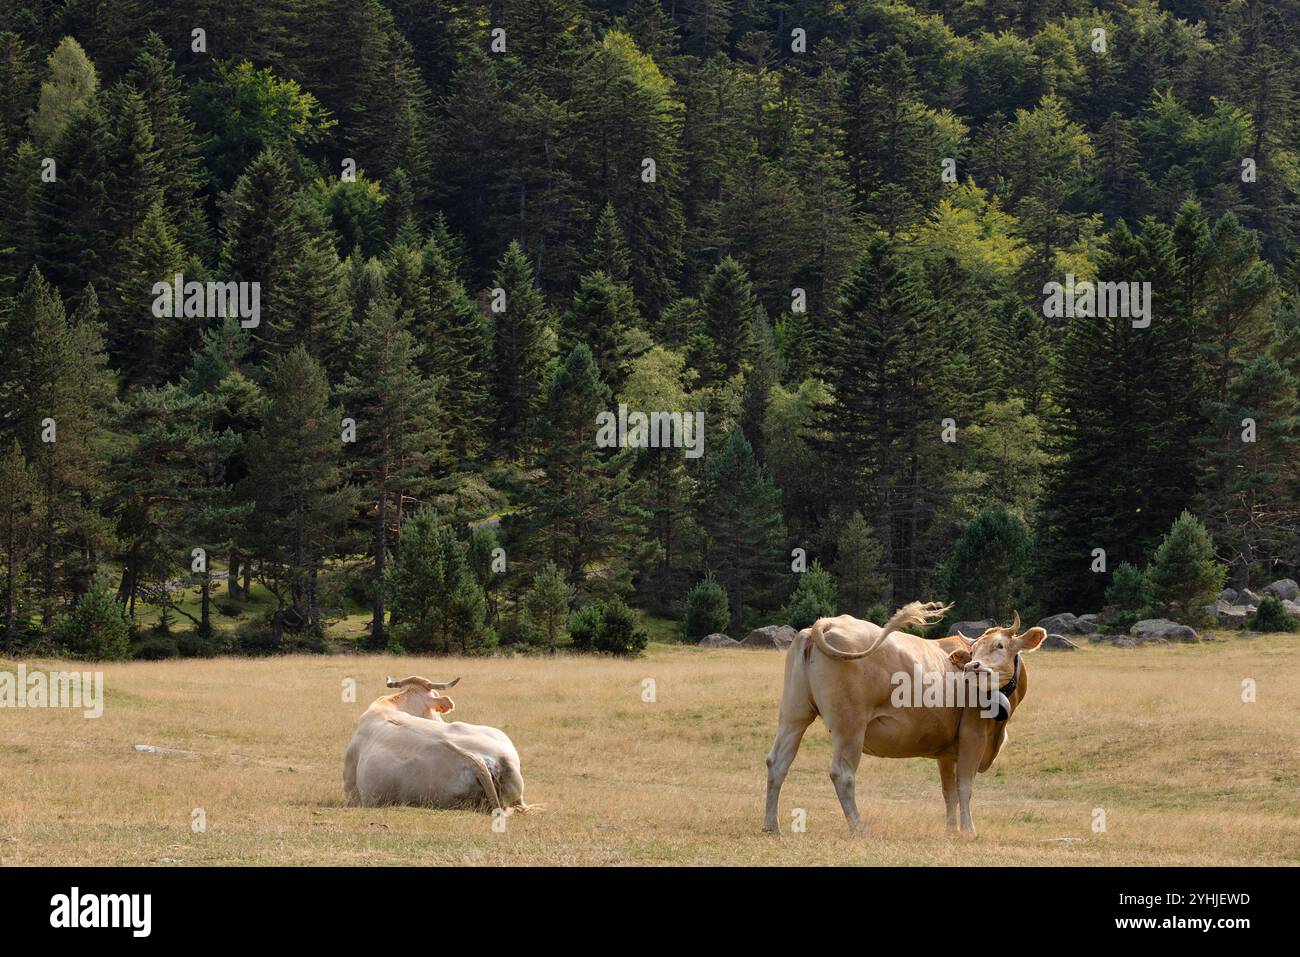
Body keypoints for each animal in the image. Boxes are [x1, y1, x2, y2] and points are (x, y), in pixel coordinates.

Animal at [762, 603, 1046, 836]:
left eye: (999, 646)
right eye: (974, 649)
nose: (971, 666)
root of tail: (827, 622)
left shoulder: (946, 752)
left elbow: (949, 792)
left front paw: (951, 830)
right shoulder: (972, 737)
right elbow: (964, 786)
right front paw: (968, 830)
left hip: (794, 713)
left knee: (777, 763)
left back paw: (771, 825)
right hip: (850, 725)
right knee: (842, 774)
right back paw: (858, 827)